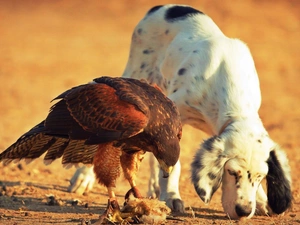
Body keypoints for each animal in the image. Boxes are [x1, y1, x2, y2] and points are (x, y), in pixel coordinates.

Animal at [69, 4, 292, 220]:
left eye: (261, 177)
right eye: (231, 173)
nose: (244, 211)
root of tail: (162, 7)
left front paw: (262, 201)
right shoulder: (173, 113)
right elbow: (172, 163)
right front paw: (171, 196)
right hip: (137, 75)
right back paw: (83, 177)